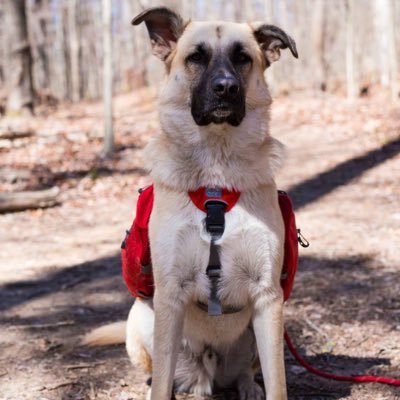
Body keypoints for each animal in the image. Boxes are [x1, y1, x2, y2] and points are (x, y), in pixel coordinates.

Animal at [84, 6, 296, 400]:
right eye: (196, 57)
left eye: (243, 58)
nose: (225, 87)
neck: (216, 176)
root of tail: (208, 373)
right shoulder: (169, 295)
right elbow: (161, 382)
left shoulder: (268, 297)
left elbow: (277, 382)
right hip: (143, 318)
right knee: (170, 376)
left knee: (245, 371)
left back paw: (246, 386)